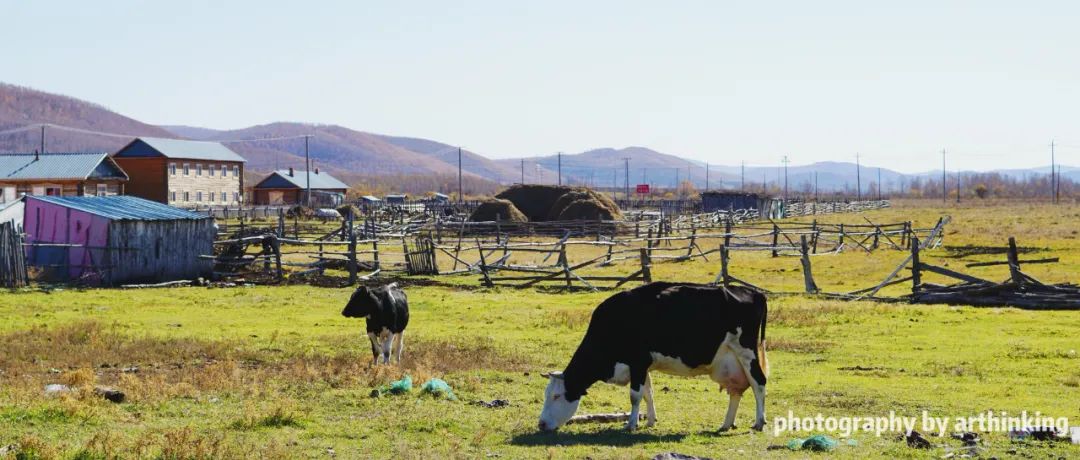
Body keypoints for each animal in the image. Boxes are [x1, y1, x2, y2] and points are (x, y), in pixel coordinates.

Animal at [537, 282, 768, 434]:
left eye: (557, 396)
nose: (541, 424)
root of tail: (754, 292)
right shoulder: (642, 366)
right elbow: (648, 393)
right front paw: (650, 420)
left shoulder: (638, 363)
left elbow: (635, 395)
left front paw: (631, 424)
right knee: (736, 391)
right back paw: (726, 424)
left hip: (747, 352)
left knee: (759, 383)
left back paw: (759, 422)